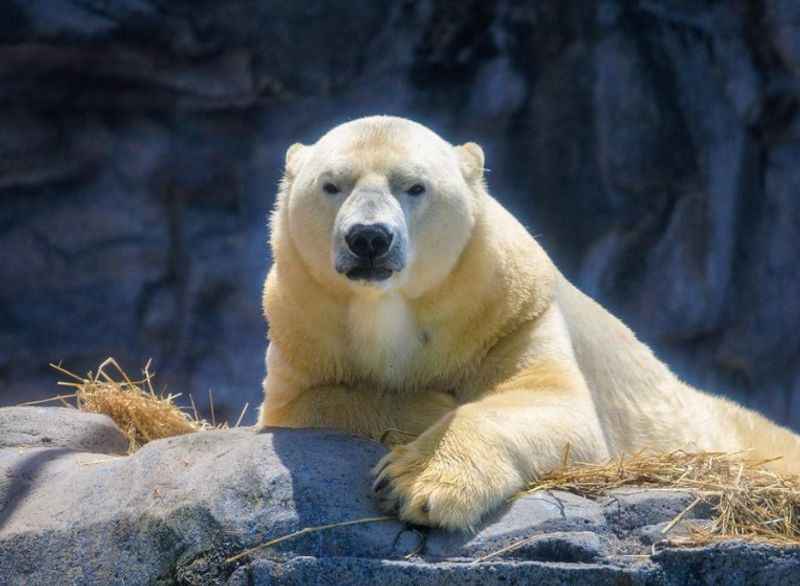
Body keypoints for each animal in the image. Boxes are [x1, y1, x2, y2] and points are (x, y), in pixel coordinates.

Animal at [258, 114, 800, 528]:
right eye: (331, 185)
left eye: (414, 186)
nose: (368, 238)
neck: (386, 307)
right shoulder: (302, 327)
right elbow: (310, 402)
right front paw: (429, 404)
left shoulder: (510, 315)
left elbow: (552, 403)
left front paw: (413, 481)